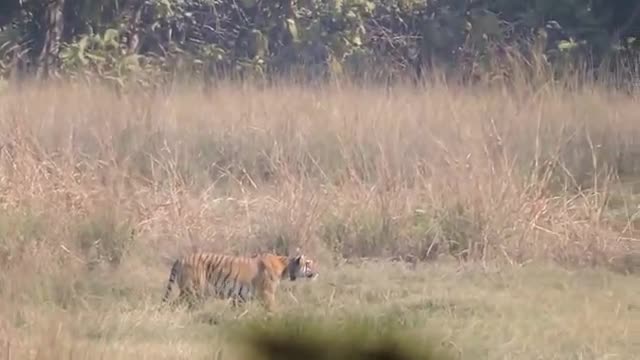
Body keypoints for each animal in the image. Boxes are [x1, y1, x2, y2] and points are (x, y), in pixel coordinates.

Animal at [161, 250, 318, 312]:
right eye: (309, 263)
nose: (318, 272)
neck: (285, 266)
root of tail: (181, 258)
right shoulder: (267, 294)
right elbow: (272, 310)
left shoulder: (240, 296)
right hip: (192, 291)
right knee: (175, 304)